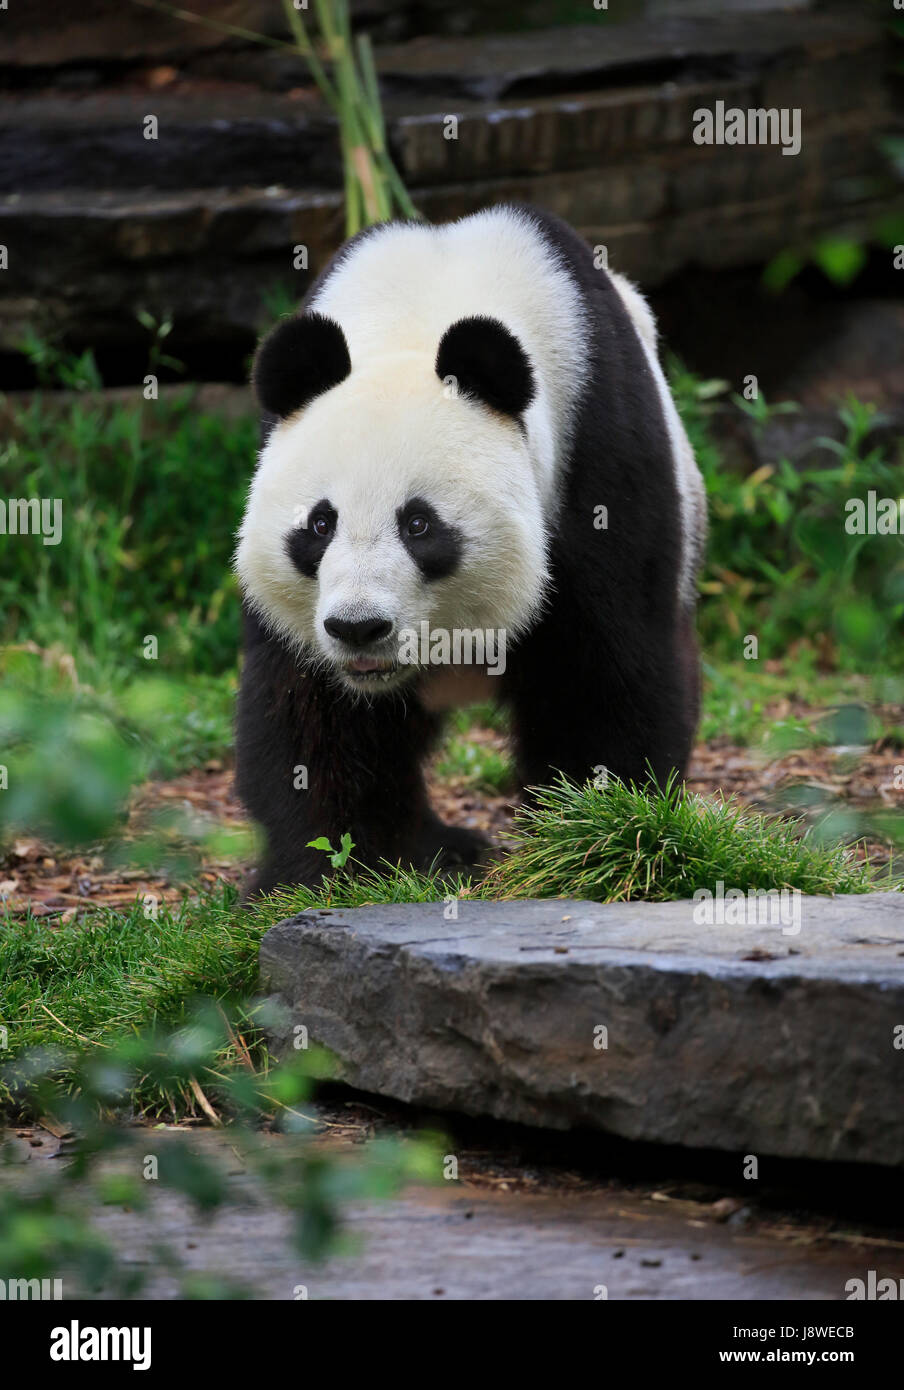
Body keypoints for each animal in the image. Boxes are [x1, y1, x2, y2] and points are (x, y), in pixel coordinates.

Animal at [233, 202, 703, 895]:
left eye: (419, 525)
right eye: (320, 525)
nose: (359, 628)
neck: (423, 314)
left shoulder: (596, 446)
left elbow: (605, 675)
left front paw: (590, 841)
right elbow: (312, 714)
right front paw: (323, 872)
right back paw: (443, 846)